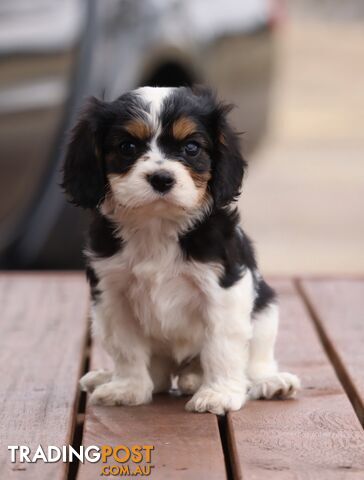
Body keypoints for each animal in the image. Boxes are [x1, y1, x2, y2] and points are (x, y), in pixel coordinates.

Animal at [62, 87, 300, 416]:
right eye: (127, 147)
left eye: (191, 148)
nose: (162, 178)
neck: (158, 224)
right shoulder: (112, 297)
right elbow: (126, 348)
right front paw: (128, 388)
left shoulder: (223, 292)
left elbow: (221, 348)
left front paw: (218, 394)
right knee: (160, 376)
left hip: (266, 311)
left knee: (255, 363)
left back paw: (270, 382)